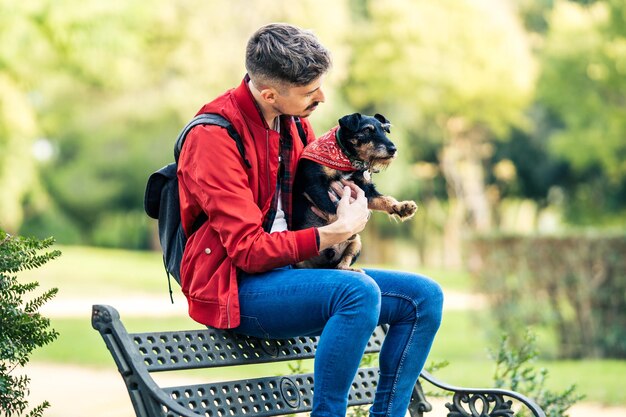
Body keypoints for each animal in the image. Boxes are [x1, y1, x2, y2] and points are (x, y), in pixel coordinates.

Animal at [292, 112, 414, 272]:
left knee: (342, 263)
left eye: (384, 130)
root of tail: (323, 266)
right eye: (367, 130)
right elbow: (332, 210)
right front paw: (345, 227)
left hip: (356, 245)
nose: (393, 149)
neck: (348, 159)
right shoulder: (313, 184)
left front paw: (402, 207)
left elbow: (385, 199)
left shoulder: (366, 191)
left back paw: (350, 268)